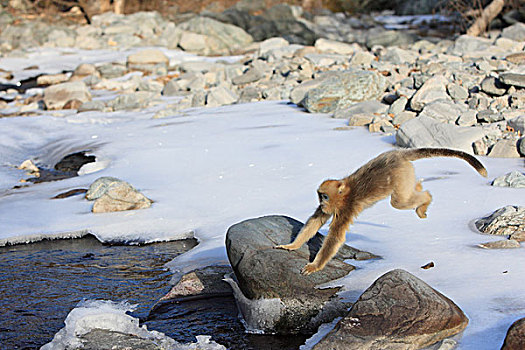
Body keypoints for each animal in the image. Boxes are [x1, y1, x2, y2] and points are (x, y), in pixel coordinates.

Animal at [276, 146, 486, 274]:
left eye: (324, 196)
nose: (322, 204)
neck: (345, 193)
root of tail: (400, 154)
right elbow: (315, 221)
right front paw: (291, 245)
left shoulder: (346, 208)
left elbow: (335, 237)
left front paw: (315, 266)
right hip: (406, 172)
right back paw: (420, 190)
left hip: (400, 174)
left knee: (399, 202)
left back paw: (425, 199)